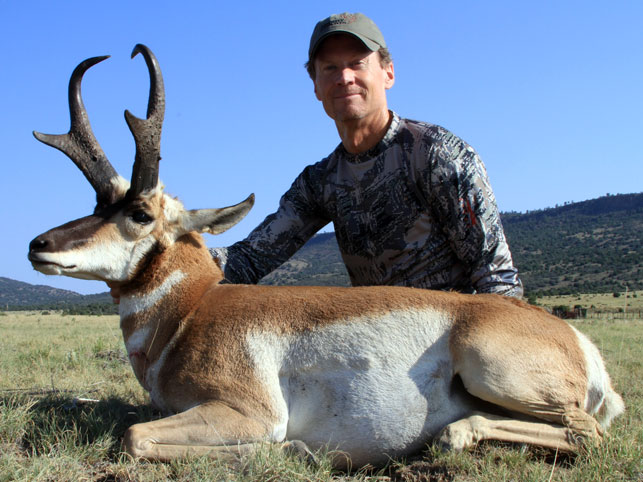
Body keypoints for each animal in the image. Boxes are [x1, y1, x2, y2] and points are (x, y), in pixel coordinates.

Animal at [28, 44, 624, 466]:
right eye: (98, 204)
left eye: (139, 213)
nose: (39, 245)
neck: (191, 309)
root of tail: (577, 341)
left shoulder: (247, 413)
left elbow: (132, 435)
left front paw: (286, 450)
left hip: (490, 370)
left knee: (584, 431)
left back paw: (451, 434)